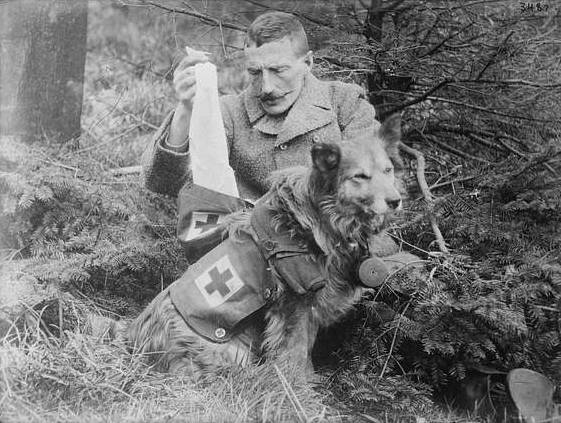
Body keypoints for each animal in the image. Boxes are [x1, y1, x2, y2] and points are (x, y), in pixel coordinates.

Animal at [128, 115, 402, 378]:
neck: (318, 218)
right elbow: (295, 353)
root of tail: (137, 343)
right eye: (360, 176)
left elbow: (305, 352)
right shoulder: (295, 306)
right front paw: (296, 389)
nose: (396, 200)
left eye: (388, 170)